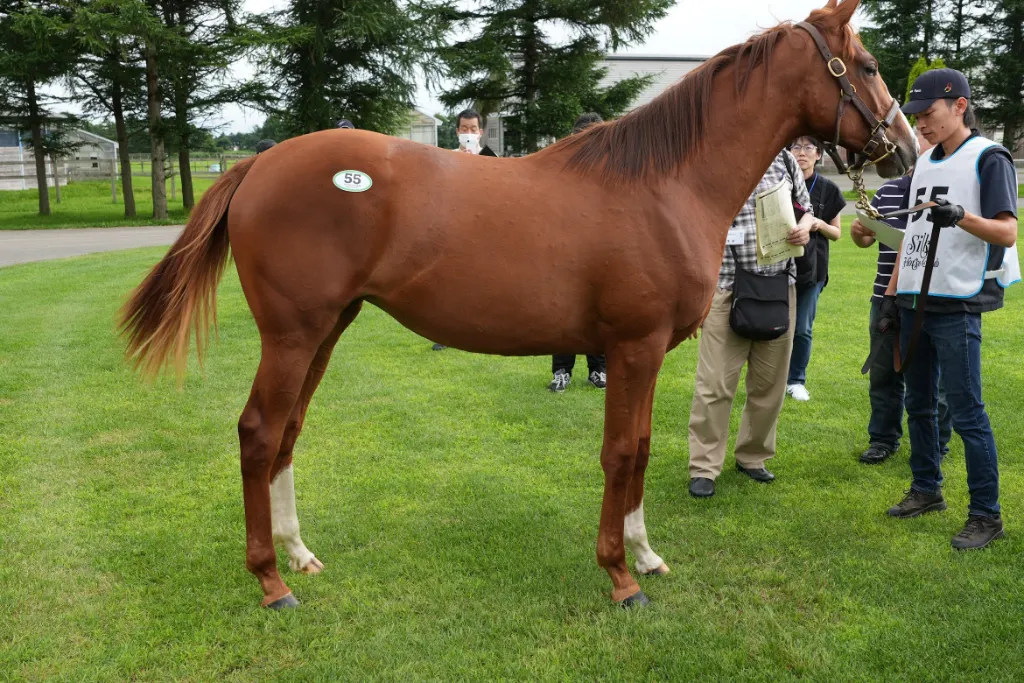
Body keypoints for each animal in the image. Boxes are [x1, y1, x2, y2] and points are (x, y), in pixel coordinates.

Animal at [122, 0, 917, 609]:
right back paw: (270, 581)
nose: (906, 150)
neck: (663, 184)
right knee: (259, 434)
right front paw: (621, 577)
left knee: (286, 433)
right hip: (292, 335)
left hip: (324, 331)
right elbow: (620, 452)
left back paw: (299, 554)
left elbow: (641, 448)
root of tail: (259, 162)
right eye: (869, 67)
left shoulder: (647, 352)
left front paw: (646, 554)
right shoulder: (632, 347)